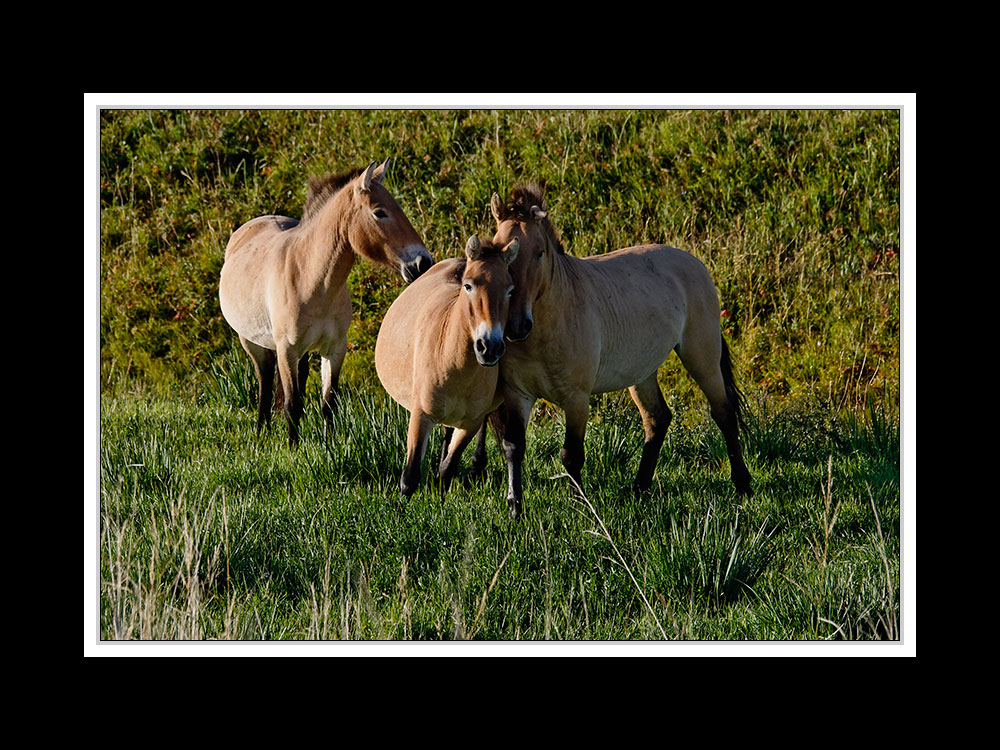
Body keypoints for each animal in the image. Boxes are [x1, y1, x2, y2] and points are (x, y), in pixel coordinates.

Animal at [218, 156, 430, 444]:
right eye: (379, 212)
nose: (423, 263)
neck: (311, 279)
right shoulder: (287, 350)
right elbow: (292, 404)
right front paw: (293, 447)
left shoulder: (334, 349)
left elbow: (329, 402)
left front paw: (330, 446)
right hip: (251, 342)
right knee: (264, 381)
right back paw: (262, 430)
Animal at [374, 235, 516, 500]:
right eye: (468, 286)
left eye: (510, 290)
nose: (489, 347)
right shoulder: (421, 415)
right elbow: (409, 478)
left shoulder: (470, 423)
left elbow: (447, 470)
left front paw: (440, 497)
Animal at [488, 185, 752, 520]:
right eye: (500, 251)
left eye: (539, 253)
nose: (517, 326)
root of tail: (694, 263)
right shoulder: (517, 393)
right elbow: (513, 446)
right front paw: (514, 510)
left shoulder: (576, 398)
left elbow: (571, 455)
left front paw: (582, 509)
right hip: (642, 373)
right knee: (658, 419)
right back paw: (640, 488)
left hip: (700, 355)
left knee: (723, 412)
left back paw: (743, 485)